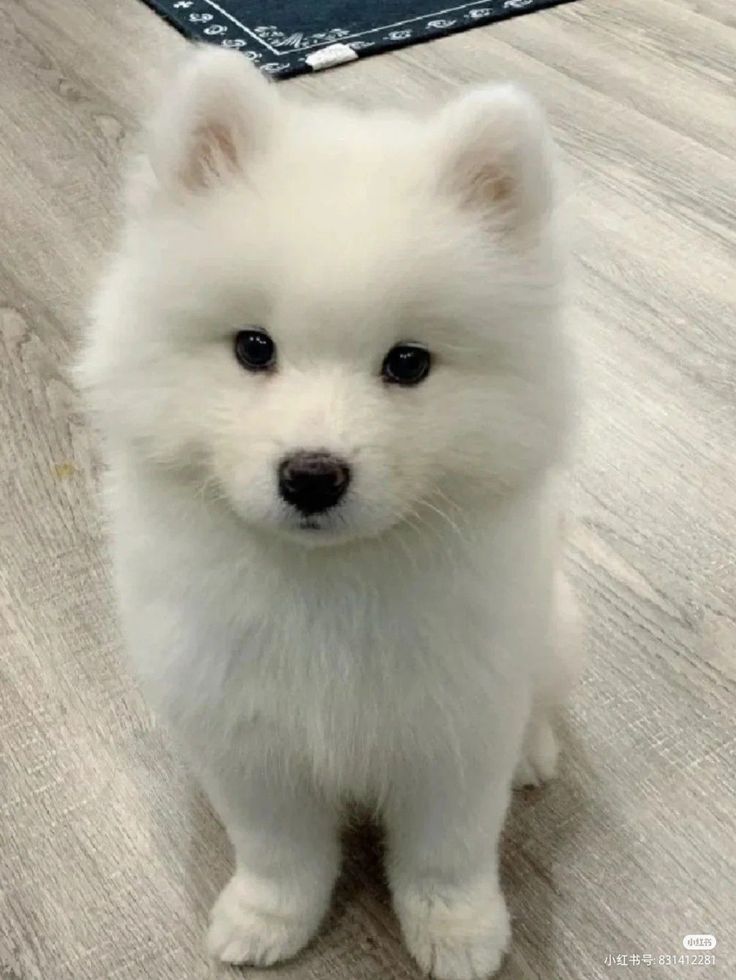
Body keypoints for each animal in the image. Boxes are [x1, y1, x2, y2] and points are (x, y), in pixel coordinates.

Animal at [76, 47, 580, 980]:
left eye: (408, 364)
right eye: (253, 348)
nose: (312, 476)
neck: (326, 587)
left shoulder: (453, 735)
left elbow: (447, 853)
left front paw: (459, 934)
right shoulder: (248, 742)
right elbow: (280, 853)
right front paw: (267, 920)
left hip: (555, 631)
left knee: (539, 703)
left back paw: (533, 754)